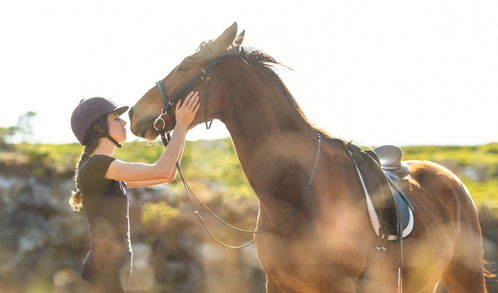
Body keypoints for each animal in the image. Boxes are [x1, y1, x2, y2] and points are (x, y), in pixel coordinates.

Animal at [127, 22, 486, 292]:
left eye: (185, 66)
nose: (134, 113)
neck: (299, 190)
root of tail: (450, 179)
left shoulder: (339, 284)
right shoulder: (279, 283)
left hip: (464, 277)